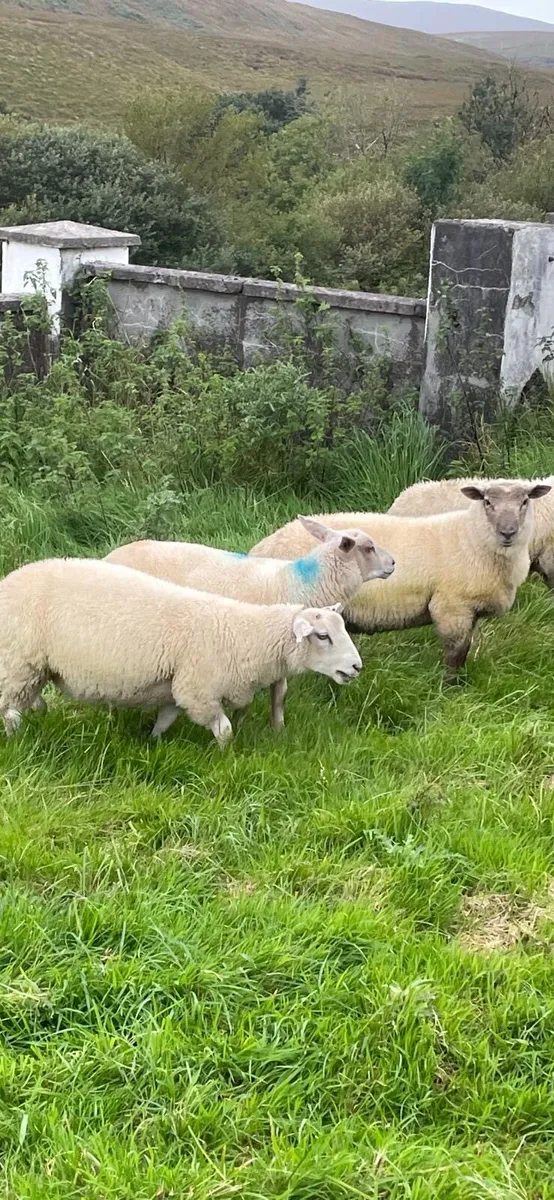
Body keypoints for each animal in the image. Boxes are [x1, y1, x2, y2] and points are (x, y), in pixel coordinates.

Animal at [0, 558, 363, 745]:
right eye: (322, 636)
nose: (357, 667)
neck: (241, 634)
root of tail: (9, 579)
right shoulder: (198, 690)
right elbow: (225, 730)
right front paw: (225, 757)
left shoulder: (177, 687)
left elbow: (165, 719)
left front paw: (153, 744)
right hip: (18, 661)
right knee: (10, 709)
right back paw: (17, 739)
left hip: (34, 666)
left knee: (29, 698)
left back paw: (40, 710)